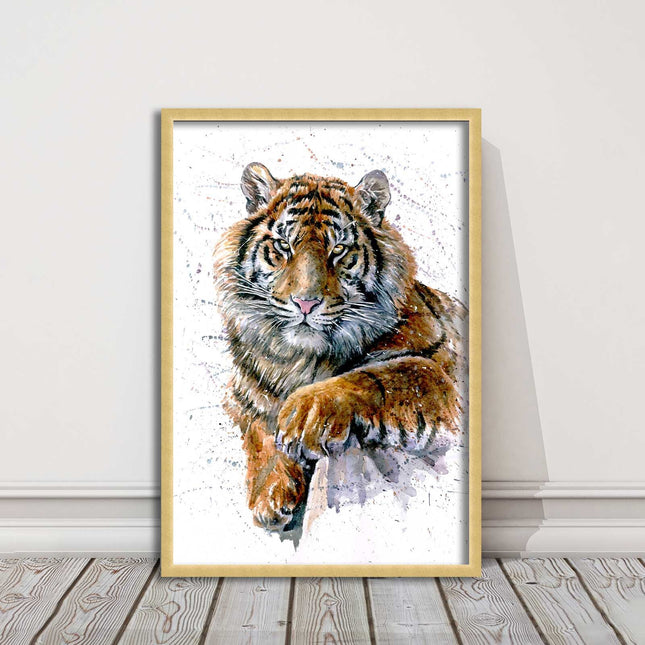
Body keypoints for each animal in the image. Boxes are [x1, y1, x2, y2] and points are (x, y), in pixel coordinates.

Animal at [214, 162, 467, 531]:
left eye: (338, 250)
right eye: (284, 246)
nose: (305, 303)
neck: (300, 360)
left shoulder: (441, 369)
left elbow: (380, 375)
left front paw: (304, 414)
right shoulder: (243, 396)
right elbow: (259, 433)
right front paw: (269, 496)